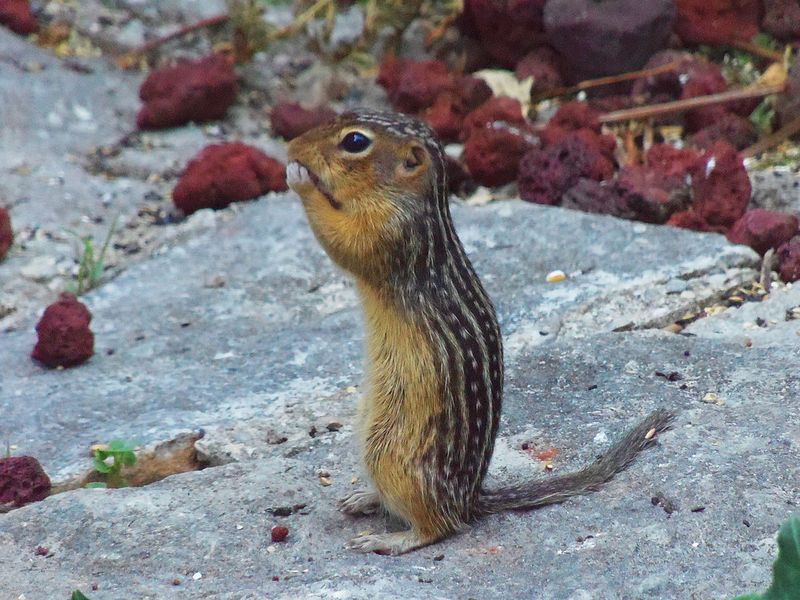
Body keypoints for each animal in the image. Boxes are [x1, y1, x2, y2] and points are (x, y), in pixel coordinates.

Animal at [285, 109, 673, 555]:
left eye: (354, 141)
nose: (291, 146)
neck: (418, 204)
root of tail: (471, 497)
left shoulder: (389, 234)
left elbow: (344, 241)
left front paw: (299, 177)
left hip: (392, 455)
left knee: (440, 525)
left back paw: (391, 539)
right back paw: (364, 498)